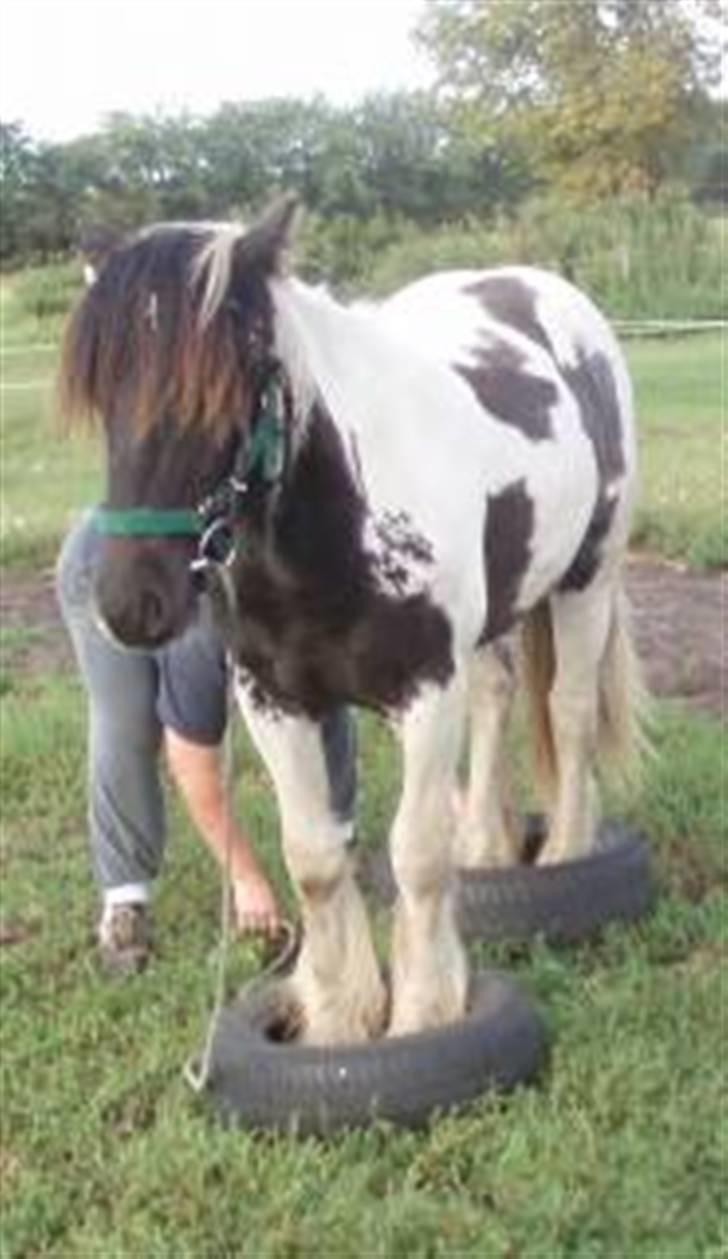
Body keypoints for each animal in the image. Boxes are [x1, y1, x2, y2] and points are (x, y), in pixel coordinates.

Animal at [59, 193, 642, 1042]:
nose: (132, 603)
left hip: (585, 579)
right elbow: (315, 855)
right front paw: (339, 1015)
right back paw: (489, 846)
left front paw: (424, 1011)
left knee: (567, 713)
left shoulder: (427, 691)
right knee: (499, 697)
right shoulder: (274, 700)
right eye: (103, 389)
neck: (339, 528)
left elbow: (418, 853)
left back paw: (564, 852)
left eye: (230, 386)